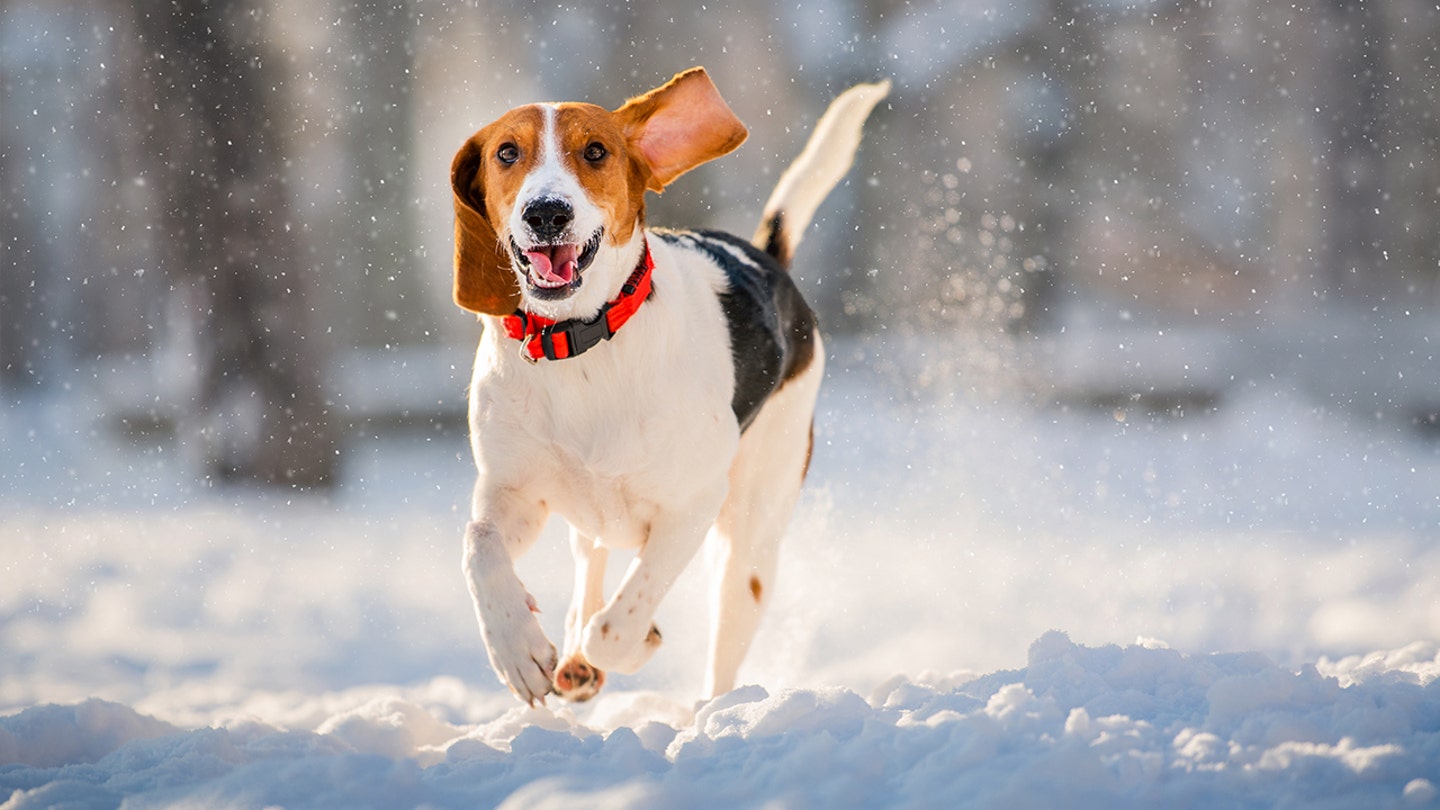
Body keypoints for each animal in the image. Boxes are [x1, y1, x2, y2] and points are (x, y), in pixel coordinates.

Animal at [449, 67, 887, 700]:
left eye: (596, 151)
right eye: (507, 153)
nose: (546, 212)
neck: (578, 344)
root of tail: (769, 259)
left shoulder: (690, 506)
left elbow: (616, 628)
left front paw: (630, 643)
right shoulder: (513, 492)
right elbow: (479, 547)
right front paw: (516, 647)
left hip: (748, 545)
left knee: (718, 650)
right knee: (590, 555)